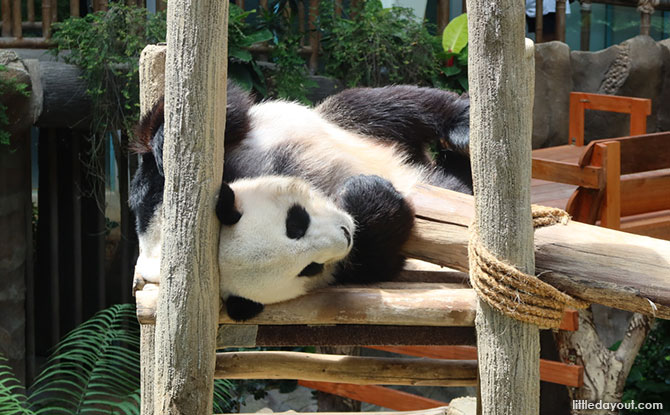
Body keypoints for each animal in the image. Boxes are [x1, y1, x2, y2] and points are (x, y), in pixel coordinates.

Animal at [131, 81, 472, 322]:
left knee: (385, 106)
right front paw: (369, 195)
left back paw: (462, 124)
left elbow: (222, 108)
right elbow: (380, 261)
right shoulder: (349, 271)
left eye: (296, 221)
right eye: (309, 268)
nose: (346, 232)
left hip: (346, 122)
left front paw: (167, 147)